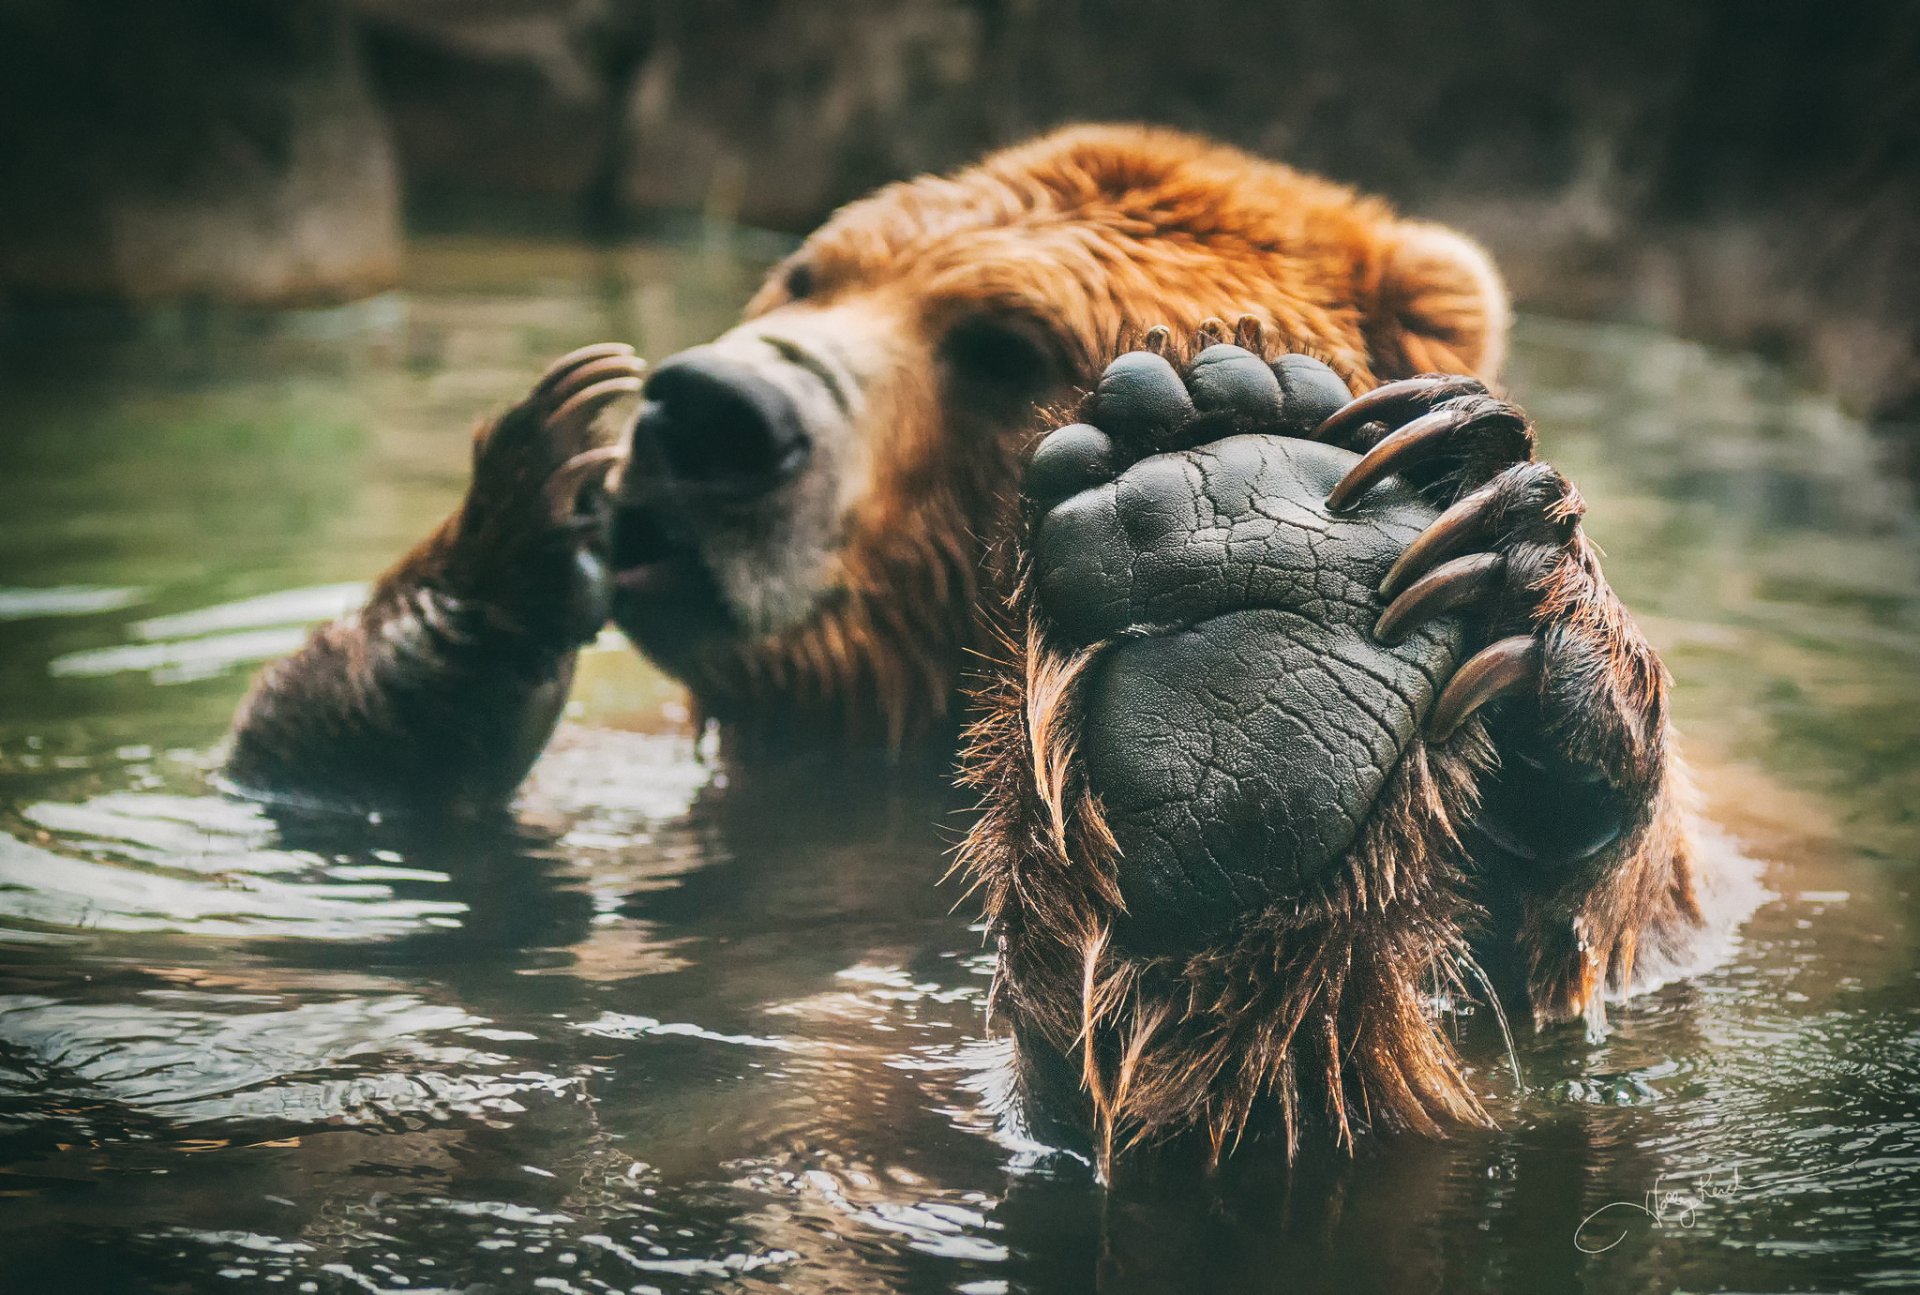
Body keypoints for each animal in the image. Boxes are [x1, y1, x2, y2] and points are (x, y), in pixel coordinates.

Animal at [224, 124, 1701, 1164]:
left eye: (1000, 341)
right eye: (809, 270)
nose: (710, 411)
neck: (888, 730)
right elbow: (304, 786)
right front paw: (536, 487)